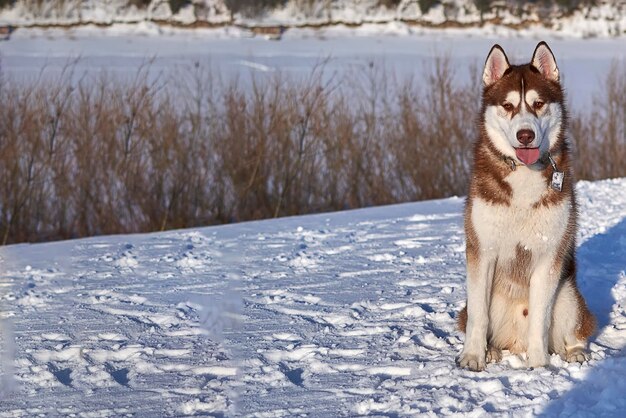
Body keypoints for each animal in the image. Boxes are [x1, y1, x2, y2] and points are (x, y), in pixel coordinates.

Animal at [456, 40, 592, 370]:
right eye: (507, 106)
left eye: (538, 103)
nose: (525, 134)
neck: (522, 172)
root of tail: (515, 343)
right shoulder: (482, 251)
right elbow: (478, 315)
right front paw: (473, 356)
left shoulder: (549, 255)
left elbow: (540, 320)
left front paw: (539, 365)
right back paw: (492, 350)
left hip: (568, 294)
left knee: (574, 328)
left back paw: (574, 352)